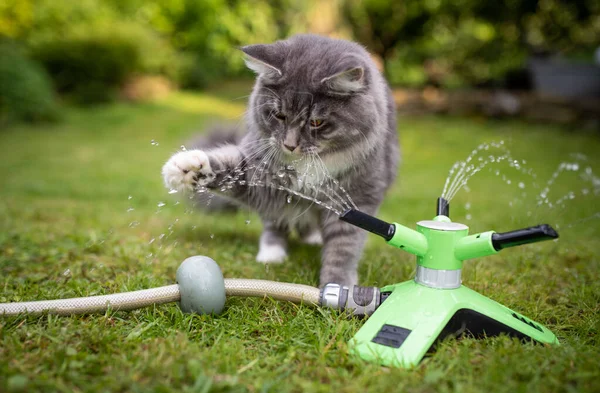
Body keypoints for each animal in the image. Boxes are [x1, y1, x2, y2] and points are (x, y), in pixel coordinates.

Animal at [162, 34, 400, 284]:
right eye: (279, 115)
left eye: (316, 122)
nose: (290, 145)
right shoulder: (262, 176)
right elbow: (226, 166)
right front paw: (186, 169)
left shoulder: (357, 198)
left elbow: (343, 249)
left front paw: (337, 284)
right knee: (275, 224)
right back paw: (271, 255)